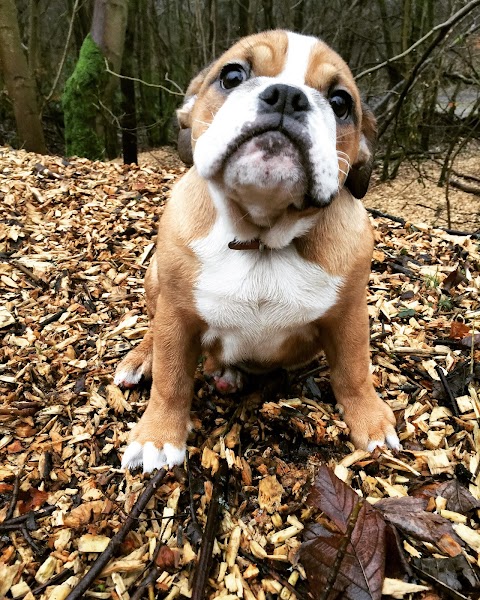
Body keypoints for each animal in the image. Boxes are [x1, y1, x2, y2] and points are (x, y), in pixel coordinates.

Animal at [114, 29, 400, 474]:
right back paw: (145, 359)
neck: (261, 236)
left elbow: (354, 369)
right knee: (155, 329)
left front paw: (369, 421)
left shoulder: (349, 314)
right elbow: (171, 377)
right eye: (232, 76)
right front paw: (158, 436)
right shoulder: (177, 314)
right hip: (156, 276)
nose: (286, 96)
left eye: (340, 102)